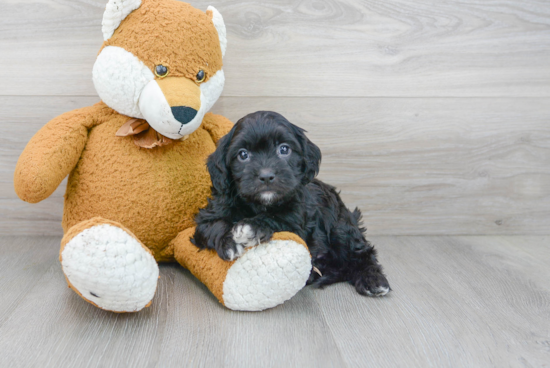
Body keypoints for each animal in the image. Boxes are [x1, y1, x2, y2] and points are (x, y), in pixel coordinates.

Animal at [194, 110, 392, 296]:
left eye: (284, 149)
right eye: (243, 154)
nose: (266, 176)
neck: (259, 204)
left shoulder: (298, 217)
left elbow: (279, 218)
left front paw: (251, 227)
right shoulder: (211, 213)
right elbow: (214, 225)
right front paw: (229, 243)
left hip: (341, 226)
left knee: (361, 252)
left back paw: (373, 280)